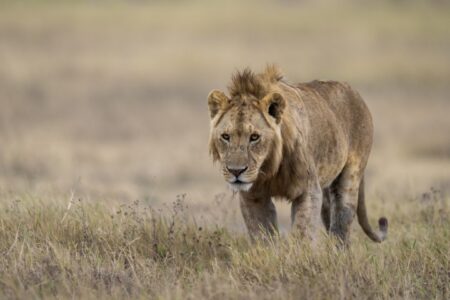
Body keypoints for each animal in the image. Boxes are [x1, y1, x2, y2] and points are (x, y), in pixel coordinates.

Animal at [207, 65, 386, 244]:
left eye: (254, 137)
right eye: (226, 136)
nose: (235, 171)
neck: (270, 168)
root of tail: (353, 90)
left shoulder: (308, 190)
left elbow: (302, 234)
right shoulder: (253, 196)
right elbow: (262, 235)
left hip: (349, 179)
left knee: (341, 226)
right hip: (326, 191)